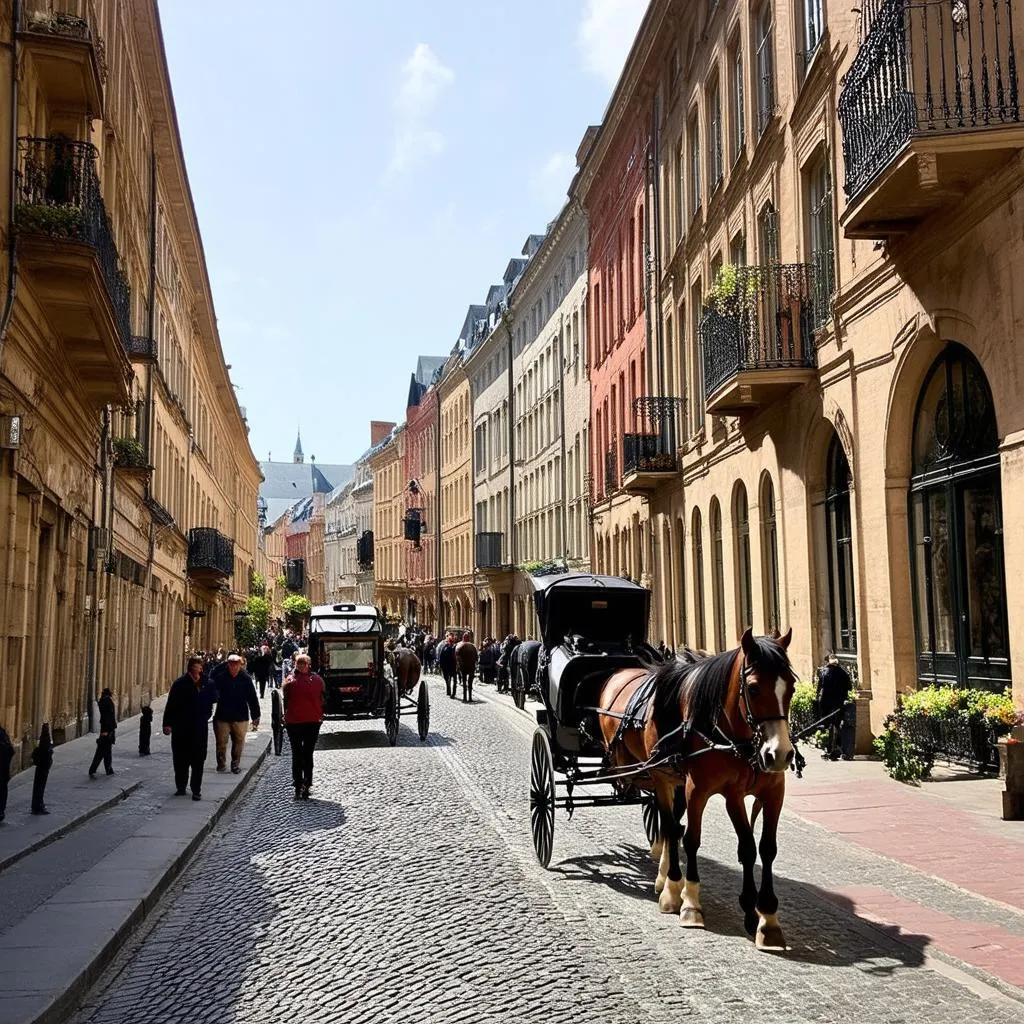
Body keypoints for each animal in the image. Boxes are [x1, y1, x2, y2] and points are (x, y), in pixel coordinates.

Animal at [593, 622, 798, 950]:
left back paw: (663, 878)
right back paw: (671, 887)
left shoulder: (770, 792)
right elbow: (692, 839)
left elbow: (761, 849)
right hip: (663, 777)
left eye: (790, 686)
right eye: (753, 688)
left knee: (669, 825)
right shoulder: (703, 790)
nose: (778, 753)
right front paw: (689, 901)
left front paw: (765, 916)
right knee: (670, 825)